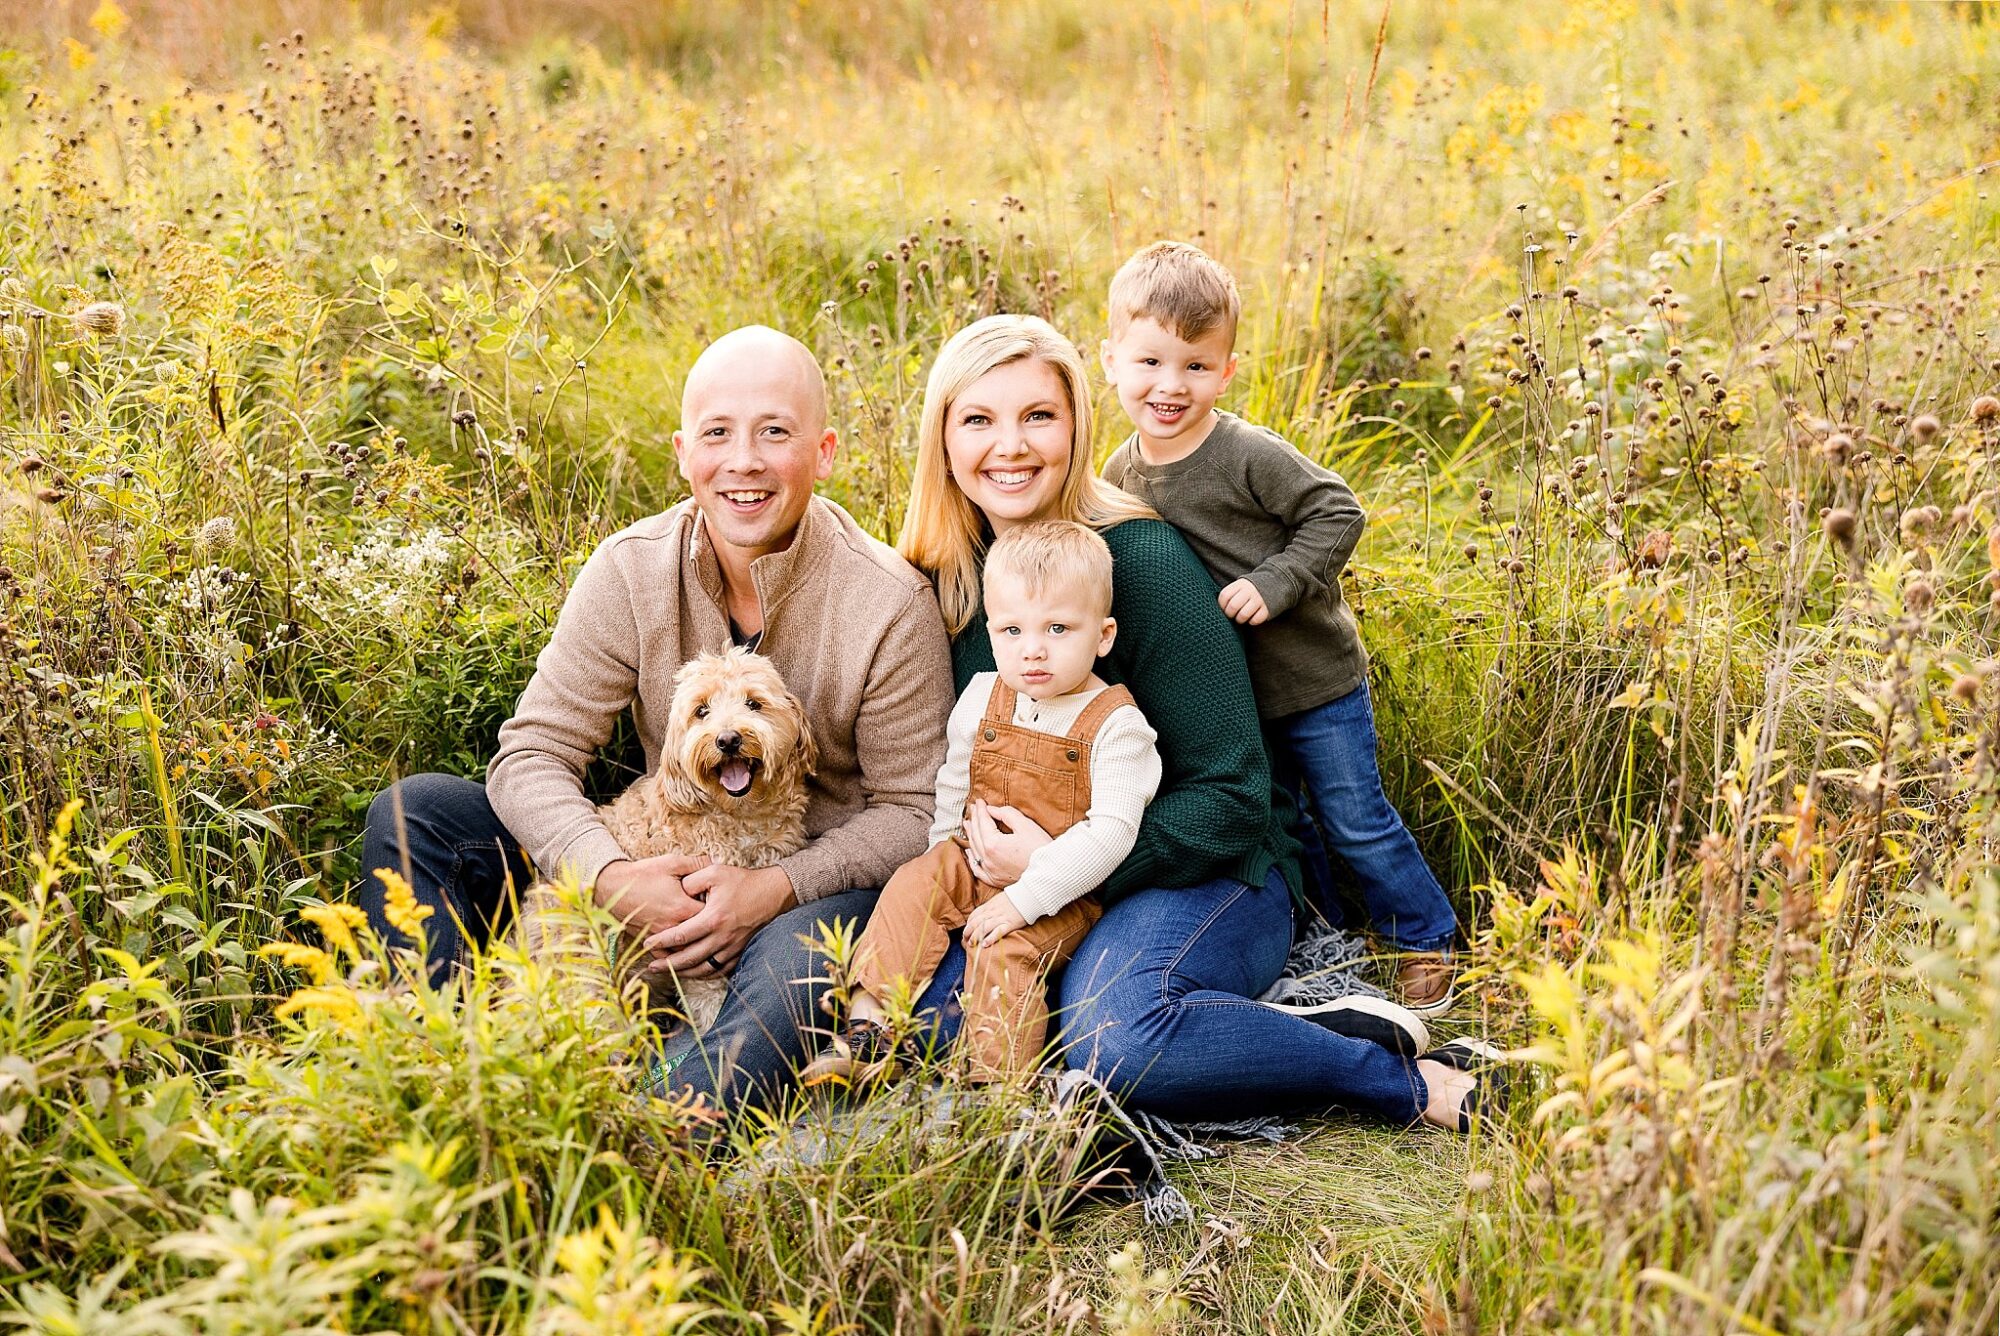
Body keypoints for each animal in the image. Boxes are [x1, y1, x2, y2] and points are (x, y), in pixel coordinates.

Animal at [528, 648, 824, 1032]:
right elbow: (708, 992)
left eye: (753, 703)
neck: (739, 815)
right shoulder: (696, 935)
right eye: (701, 710)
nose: (728, 740)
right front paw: (710, 1023)